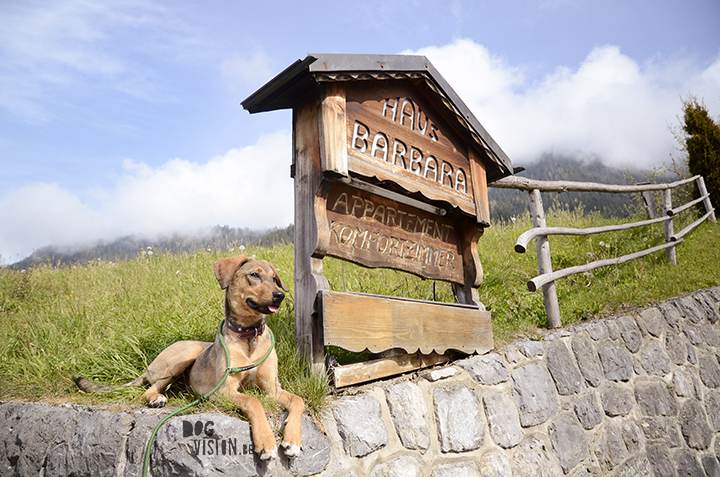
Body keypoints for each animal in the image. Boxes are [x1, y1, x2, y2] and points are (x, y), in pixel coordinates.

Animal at [75, 255, 304, 460]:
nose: (279, 295)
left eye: (274, 278)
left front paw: (293, 440)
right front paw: (266, 442)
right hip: (187, 353)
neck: (249, 336)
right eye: (254, 275)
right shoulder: (224, 391)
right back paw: (156, 398)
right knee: (148, 389)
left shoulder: (272, 388)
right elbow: (253, 401)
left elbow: (298, 400)